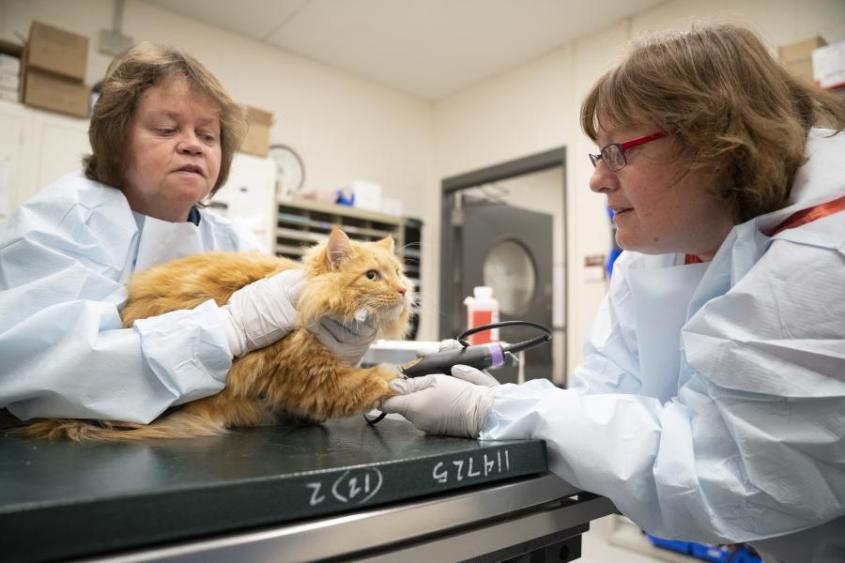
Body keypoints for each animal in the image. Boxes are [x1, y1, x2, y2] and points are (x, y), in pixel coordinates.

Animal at [21, 228, 414, 440]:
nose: (403, 290)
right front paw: (390, 378)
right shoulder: (308, 374)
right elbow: (354, 386)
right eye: (372, 276)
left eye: (398, 272)